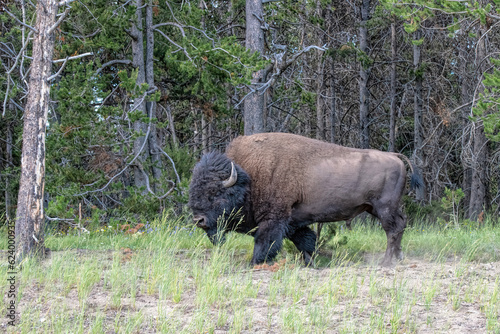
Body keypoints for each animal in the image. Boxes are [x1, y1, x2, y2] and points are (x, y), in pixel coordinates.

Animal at [189, 133, 420, 266]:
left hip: (384, 208)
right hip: (376, 207)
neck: (249, 176)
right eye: (194, 190)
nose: (198, 220)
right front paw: (310, 262)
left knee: (392, 229)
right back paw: (398, 257)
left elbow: (265, 242)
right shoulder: (293, 221)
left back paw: (386, 261)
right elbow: (305, 241)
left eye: (215, 193)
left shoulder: (274, 219)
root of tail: (394, 156)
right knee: (401, 225)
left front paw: (256, 262)